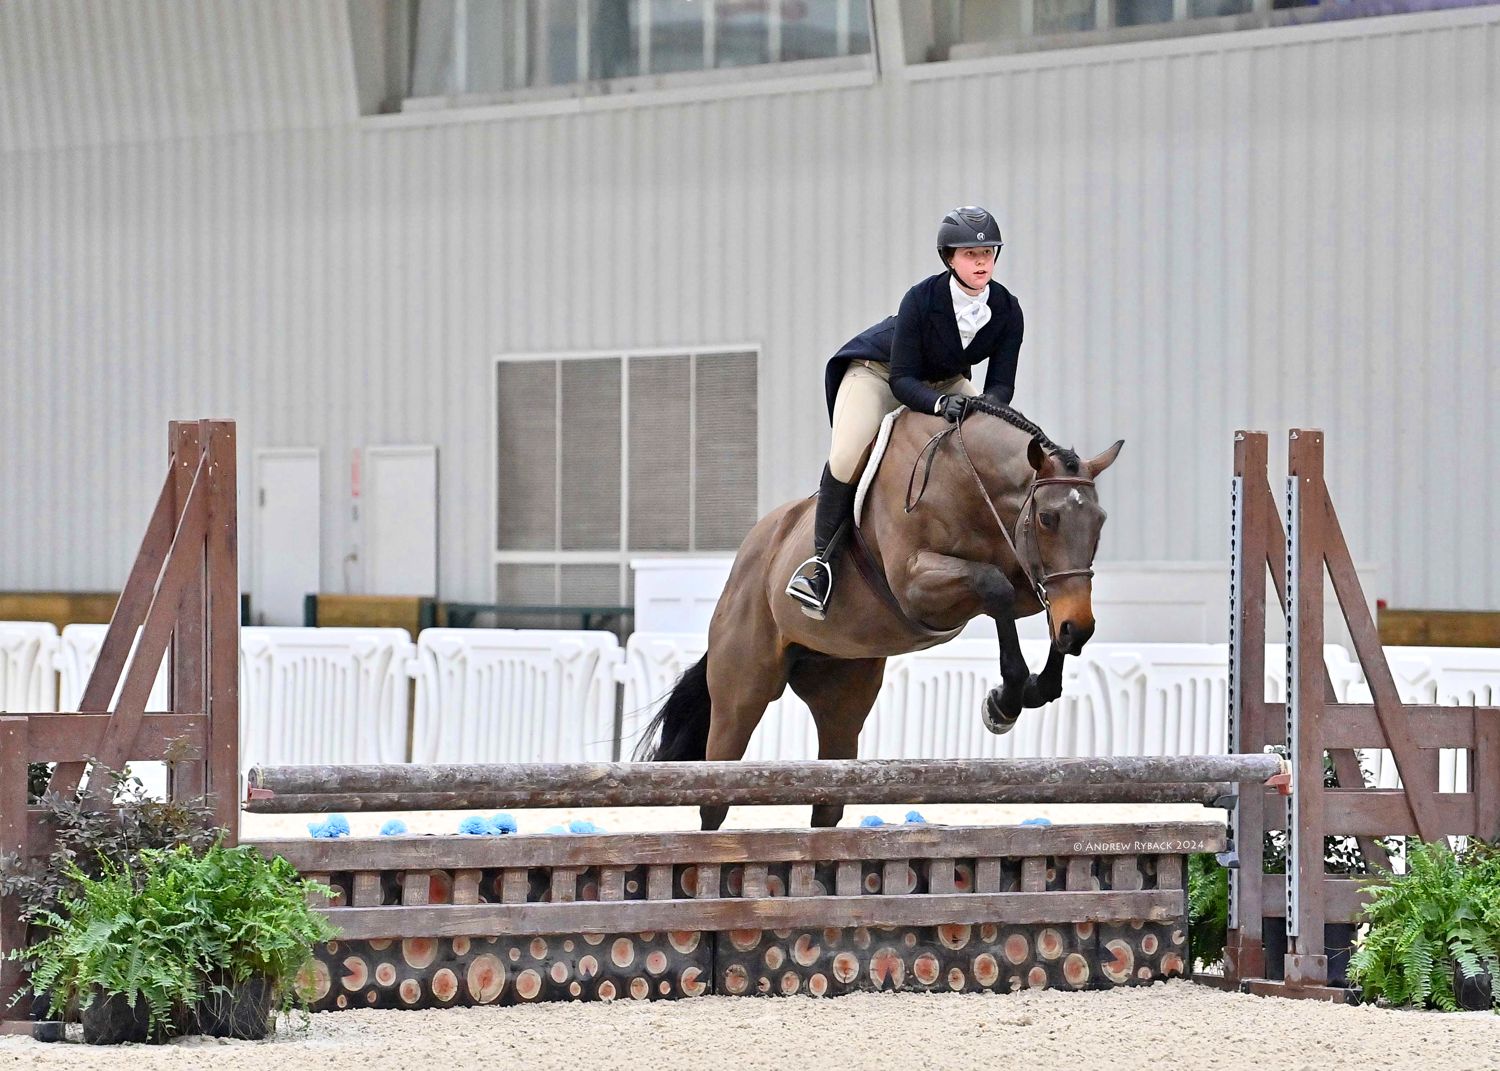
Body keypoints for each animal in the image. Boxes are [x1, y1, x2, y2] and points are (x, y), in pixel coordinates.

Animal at [636, 396, 1128, 828]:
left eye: (1100, 522)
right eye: (1047, 519)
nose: (1080, 631)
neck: (969, 482)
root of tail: (749, 559)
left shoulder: (1033, 576)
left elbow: (1041, 599)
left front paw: (1037, 685)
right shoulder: (915, 586)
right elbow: (994, 586)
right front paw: (1005, 701)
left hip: (841, 693)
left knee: (828, 800)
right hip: (741, 694)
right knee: (715, 797)